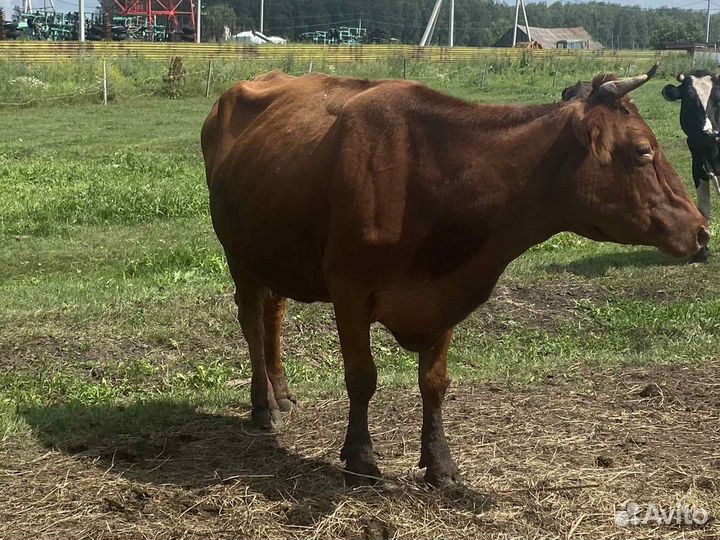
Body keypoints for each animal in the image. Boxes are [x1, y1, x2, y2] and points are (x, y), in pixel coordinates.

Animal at [201, 66, 708, 488]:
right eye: (643, 151)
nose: (702, 230)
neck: (434, 172)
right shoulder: (349, 289)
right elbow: (362, 377)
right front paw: (361, 459)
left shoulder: (446, 293)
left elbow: (435, 383)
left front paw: (441, 464)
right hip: (238, 253)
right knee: (252, 323)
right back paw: (264, 406)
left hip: (273, 253)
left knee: (274, 314)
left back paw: (283, 394)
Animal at [662, 70, 720, 262]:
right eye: (688, 100)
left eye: (718, 99)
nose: (708, 132)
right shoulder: (698, 166)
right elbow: (703, 207)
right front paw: (701, 251)